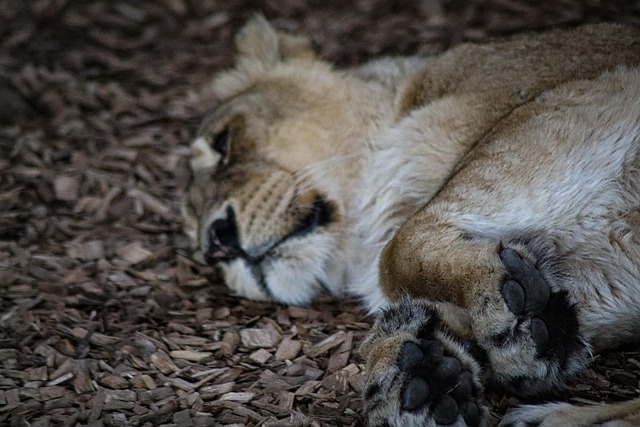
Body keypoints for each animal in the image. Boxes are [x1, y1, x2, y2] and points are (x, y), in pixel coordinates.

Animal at [182, 16, 640, 426]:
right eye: (193, 231)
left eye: (222, 143)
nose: (215, 244)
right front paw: (420, 373)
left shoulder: (581, 100)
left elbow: (400, 247)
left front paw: (508, 299)